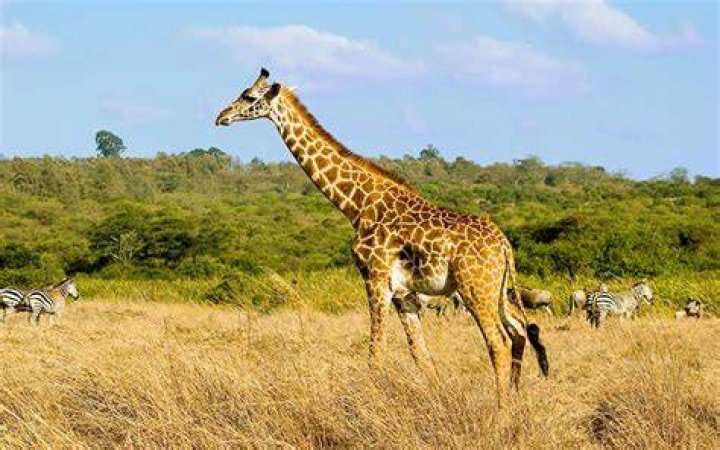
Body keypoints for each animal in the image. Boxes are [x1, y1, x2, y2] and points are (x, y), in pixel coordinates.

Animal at [215, 69, 549, 405]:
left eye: (249, 96)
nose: (221, 116)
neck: (357, 206)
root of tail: (504, 245)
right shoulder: (405, 294)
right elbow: (421, 357)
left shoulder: (375, 278)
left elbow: (375, 351)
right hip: (498, 290)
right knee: (519, 331)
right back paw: (514, 399)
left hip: (475, 289)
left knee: (499, 342)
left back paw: (501, 411)